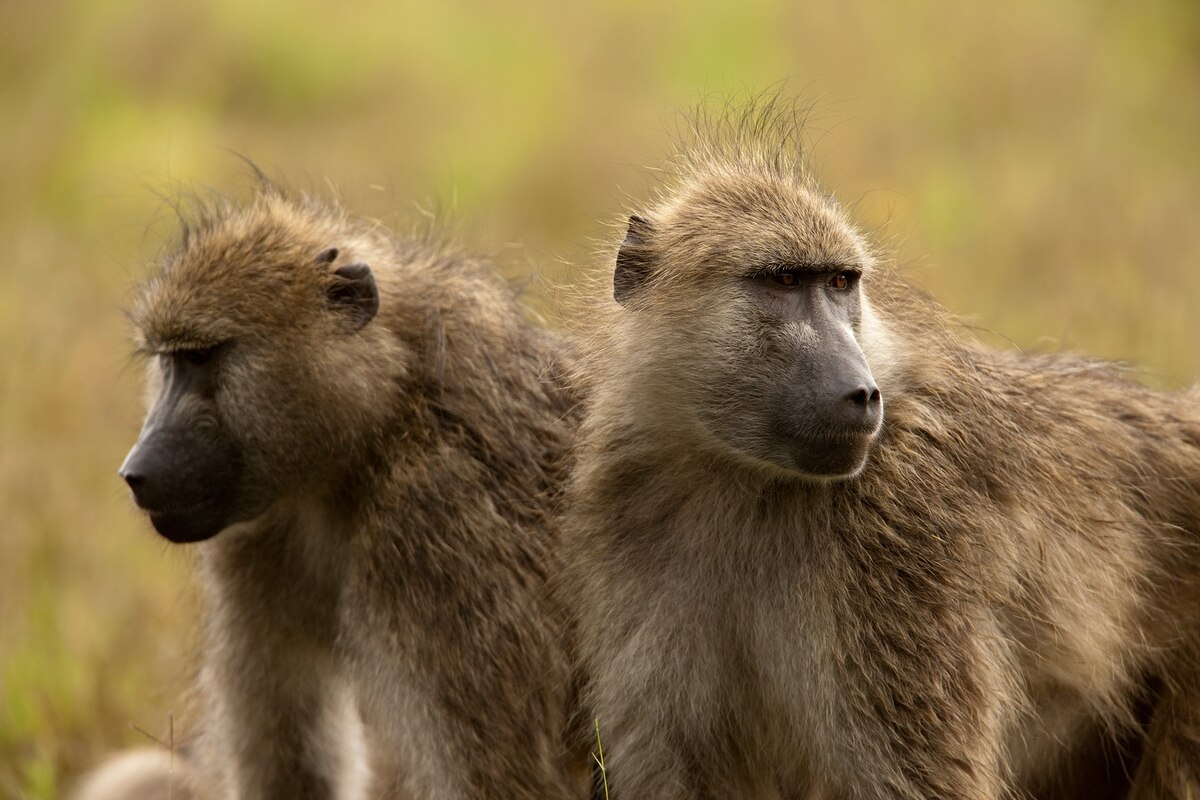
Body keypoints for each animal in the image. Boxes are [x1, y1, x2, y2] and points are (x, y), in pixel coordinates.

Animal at [77, 185, 589, 800]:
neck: (383, 423)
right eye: (169, 362)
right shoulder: (258, 540)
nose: (137, 471)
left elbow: (510, 781)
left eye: (203, 356)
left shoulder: (438, 531)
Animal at [561, 114, 1200, 799]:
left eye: (841, 282)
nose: (863, 391)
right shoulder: (631, 503)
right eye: (783, 280)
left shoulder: (897, 536)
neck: (741, 479)